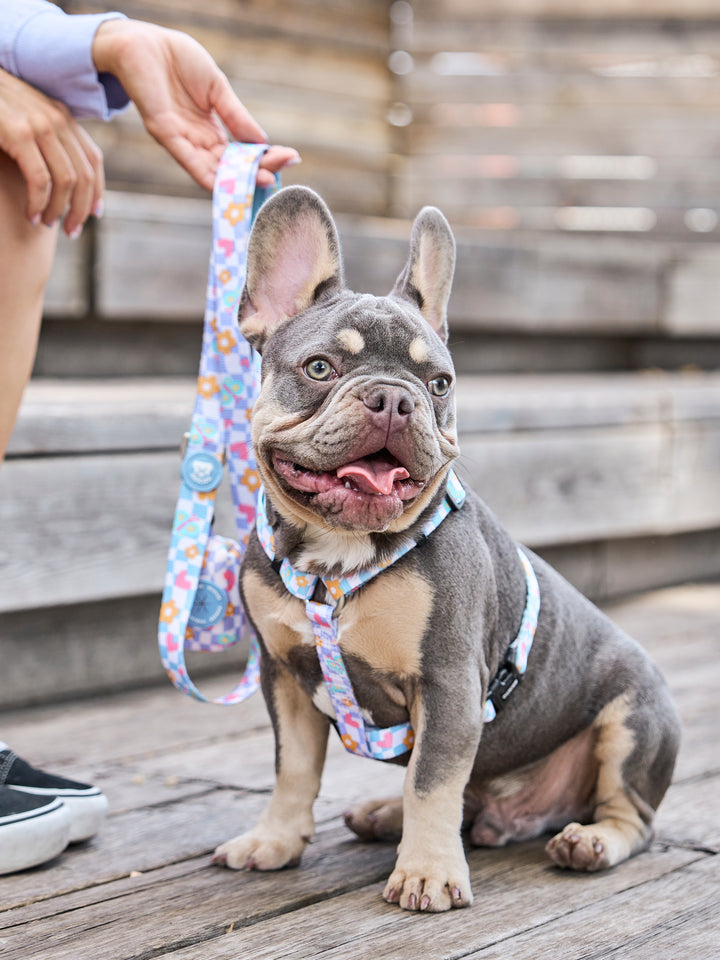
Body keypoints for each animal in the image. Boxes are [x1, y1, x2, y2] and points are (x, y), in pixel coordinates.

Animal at [212, 188, 680, 916]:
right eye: (320, 368)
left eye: (439, 384)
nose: (393, 398)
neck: (338, 561)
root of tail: (521, 814)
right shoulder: (284, 677)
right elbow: (293, 769)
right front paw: (275, 840)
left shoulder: (449, 683)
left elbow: (432, 779)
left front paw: (428, 873)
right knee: (464, 798)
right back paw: (385, 813)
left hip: (633, 722)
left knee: (629, 812)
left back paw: (589, 841)